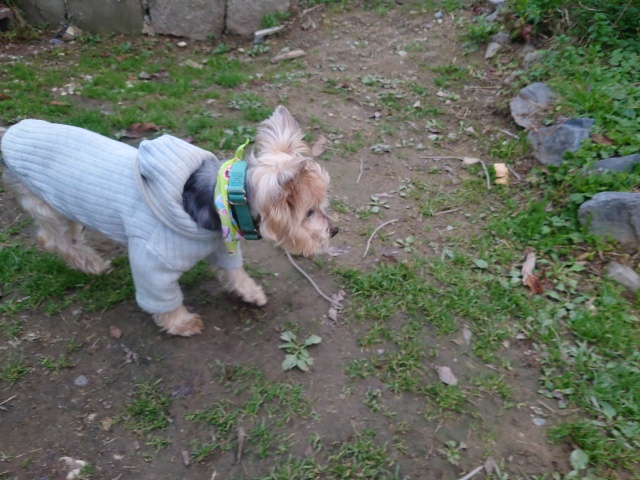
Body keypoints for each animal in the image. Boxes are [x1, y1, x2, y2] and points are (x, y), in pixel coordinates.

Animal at [0, 106, 337, 336]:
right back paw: (90, 263)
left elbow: (234, 270)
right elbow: (162, 297)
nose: (334, 229)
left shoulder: (220, 242)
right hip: (46, 204)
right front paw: (181, 322)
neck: (222, 198)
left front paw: (250, 291)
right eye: (309, 212)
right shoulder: (152, 261)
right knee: (51, 239)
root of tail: (8, 135)